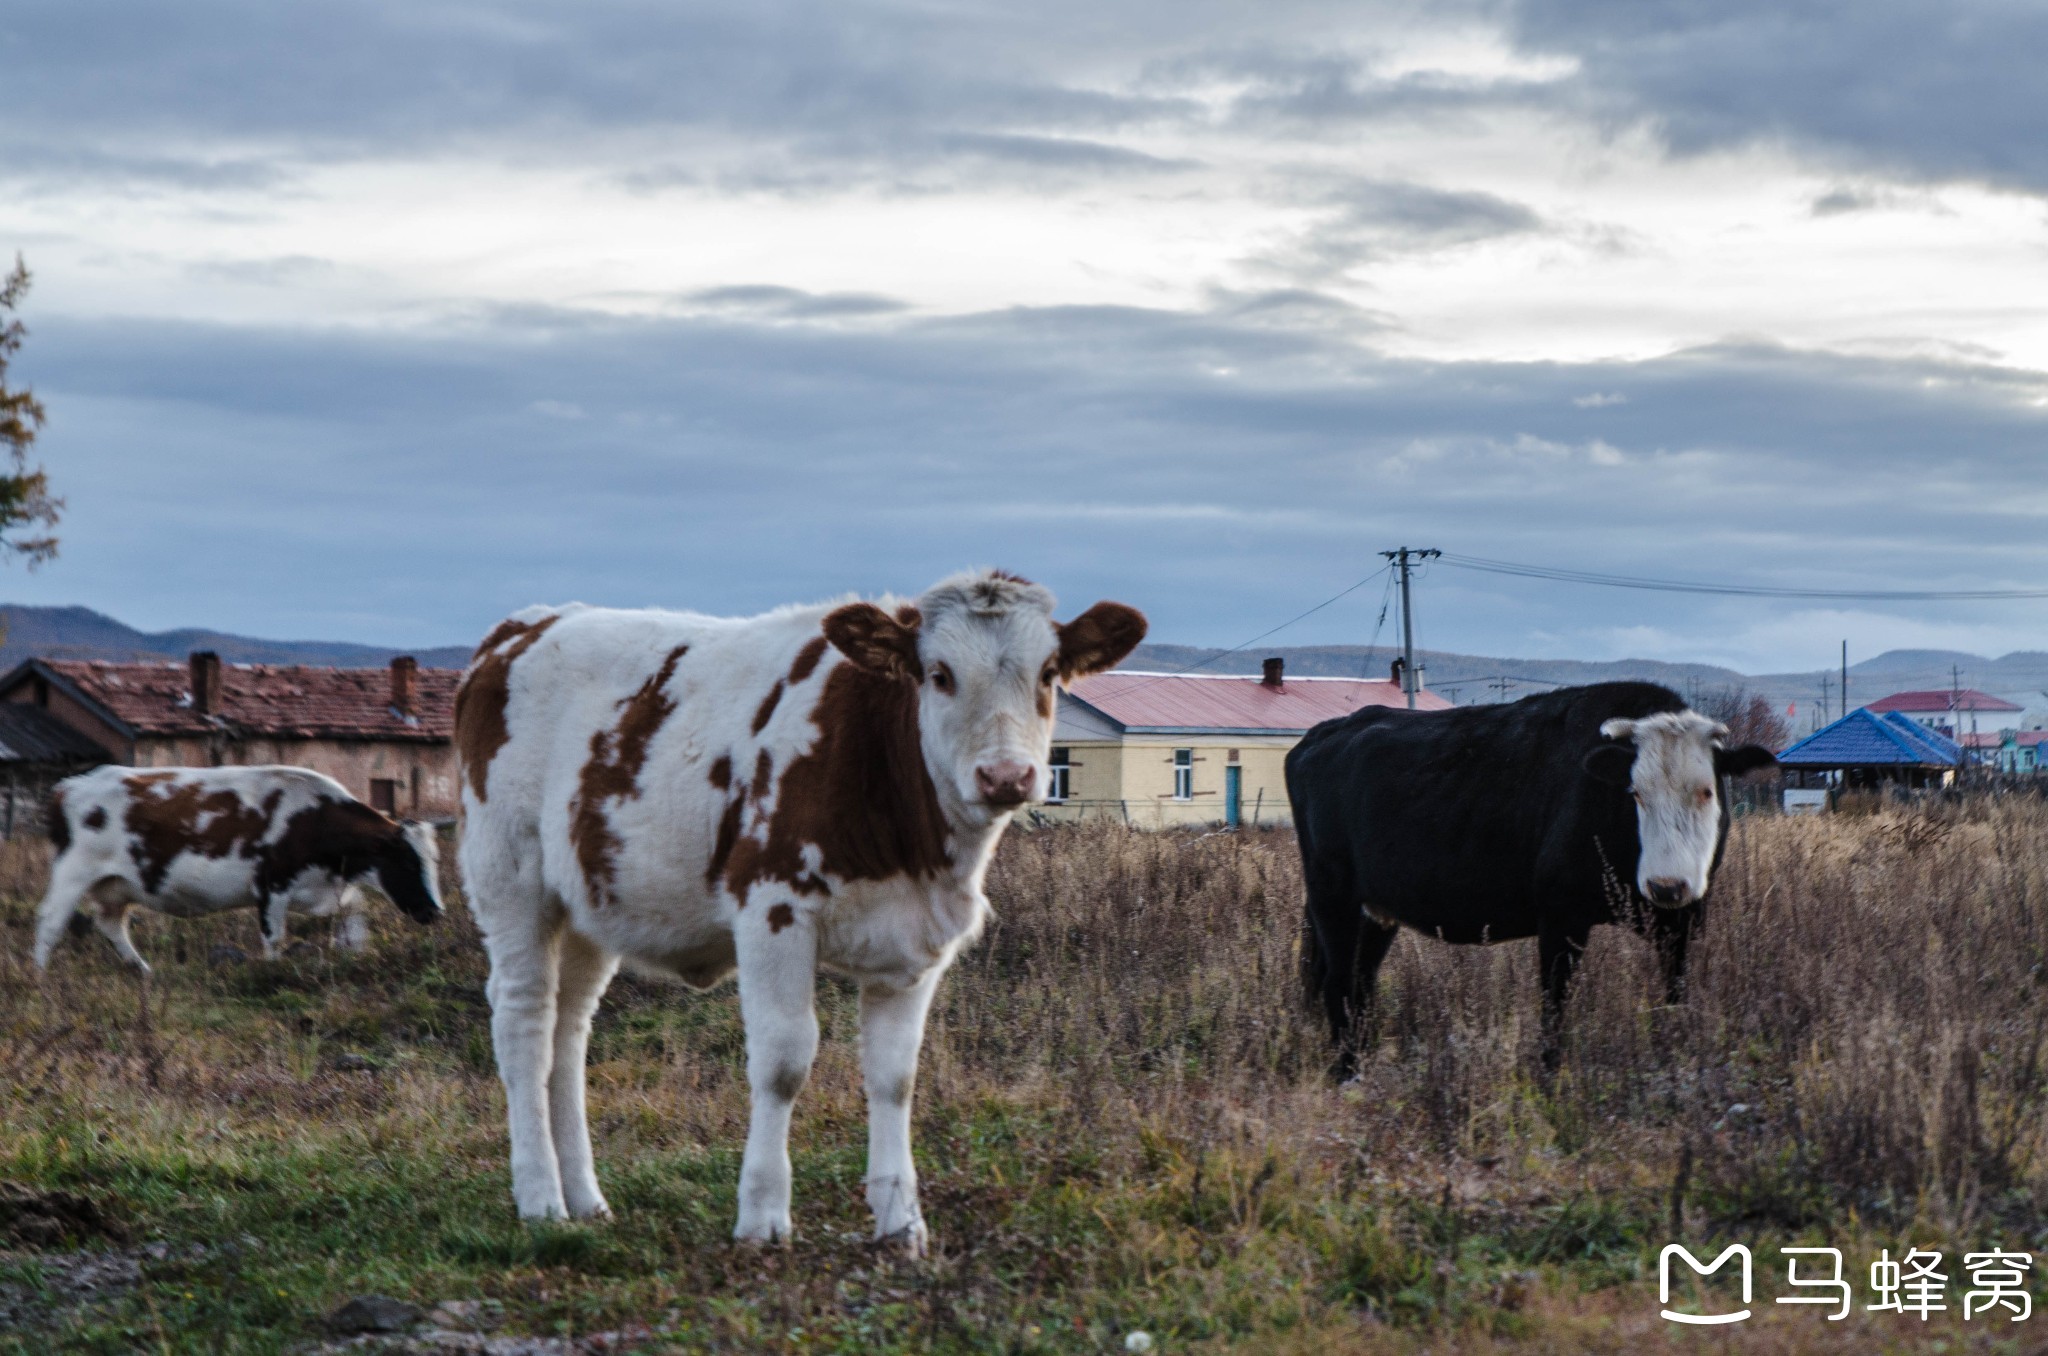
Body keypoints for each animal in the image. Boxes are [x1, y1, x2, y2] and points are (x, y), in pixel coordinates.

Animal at [36, 766, 446, 979]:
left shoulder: (329, 887)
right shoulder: (271, 886)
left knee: (111, 924)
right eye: (408, 862)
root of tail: (70, 785)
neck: (312, 819)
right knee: (50, 922)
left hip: (115, 885)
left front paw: (355, 958)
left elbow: (355, 920)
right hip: (74, 872)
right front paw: (271, 975)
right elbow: (273, 938)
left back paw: (143, 970)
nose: (436, 912)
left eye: (434, 861)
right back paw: (39, 977)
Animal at [454, 565, 1146, 1253]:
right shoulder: (773, 909)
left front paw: (901, 1223)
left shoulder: (916, 941)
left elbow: (895, 1075)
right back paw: (541, 1199)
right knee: (524, 1024)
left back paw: (586, 1199)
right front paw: (762, 1217)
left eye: (1048, 673)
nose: (1006, 776)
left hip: (589, 905)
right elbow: (783, 1061)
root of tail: (525, 625)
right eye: (940, 674)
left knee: (568, 1032)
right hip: (511, 877)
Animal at [1277, 684, 1777, 1081]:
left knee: (1360, 981)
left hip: (1375, 910)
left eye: (1706, 791)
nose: (1666, 885)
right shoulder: (1560, 916)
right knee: (1337, 981)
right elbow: (1553, 1005)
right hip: (1332, 896)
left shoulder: (1685, 921)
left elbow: (1675, 997)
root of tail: (1329, 730)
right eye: (1635, 792)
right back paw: (1347, 1075)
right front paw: (1549, 1078)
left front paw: (1674, 1055)